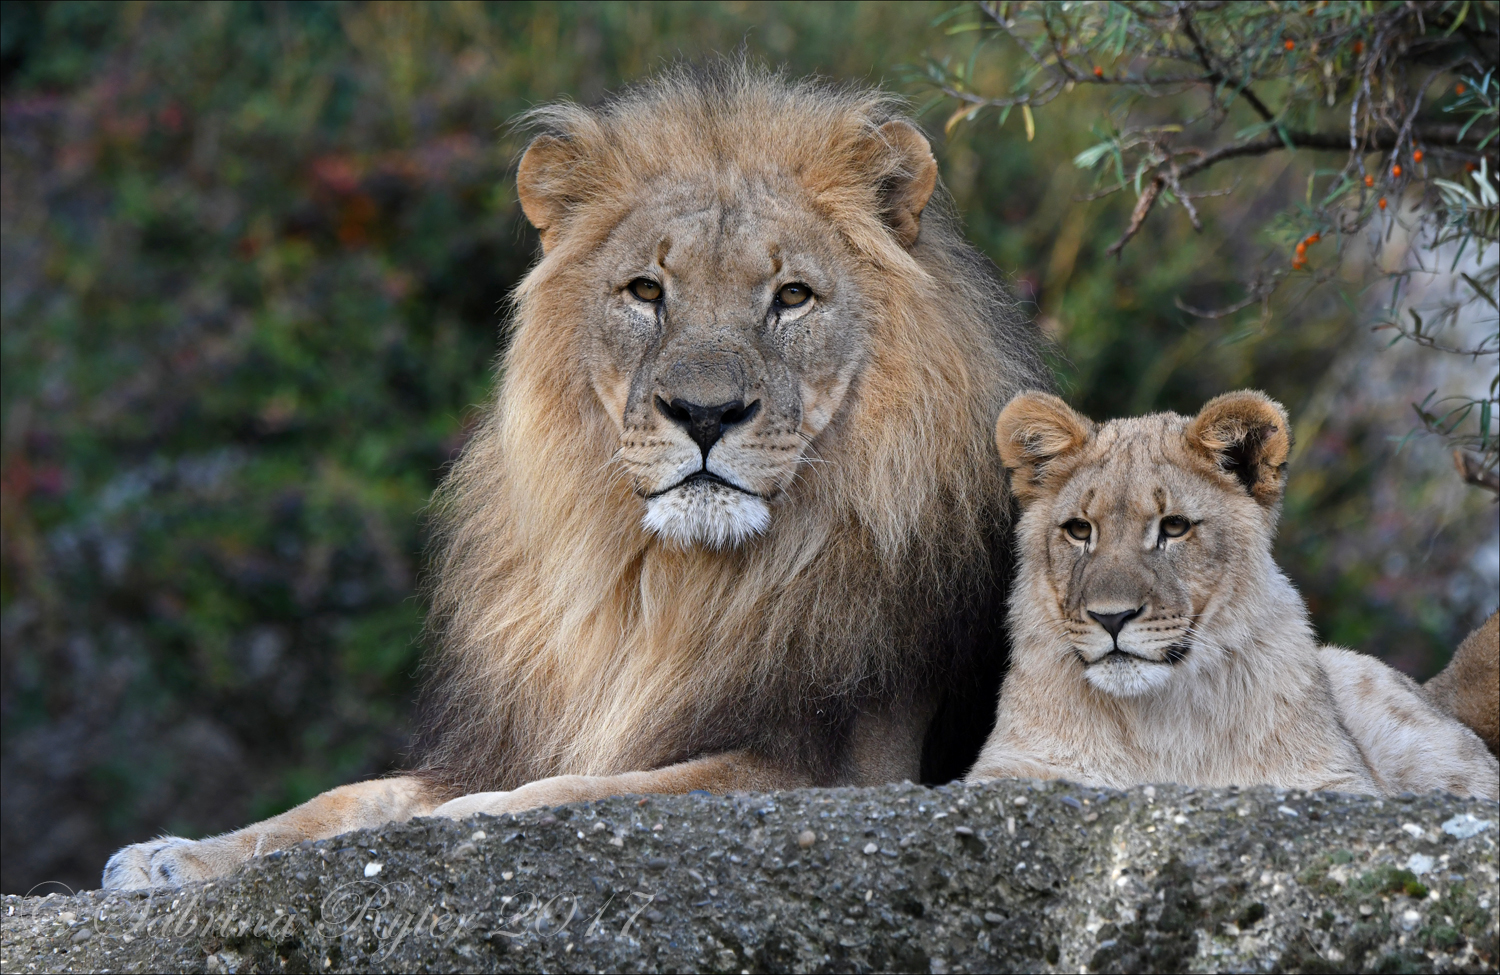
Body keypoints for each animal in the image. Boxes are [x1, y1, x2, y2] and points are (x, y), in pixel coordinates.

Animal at [102, 68, 1044, 888]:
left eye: (792, 297)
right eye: (646, 290)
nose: (705, 413)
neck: (663, 584)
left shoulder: (855, 769)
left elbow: (612, 787)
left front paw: (468, 819)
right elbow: (345, 798)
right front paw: (174, 855)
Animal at [972, 390, 1500, 798]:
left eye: (1174, 527)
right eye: (1080, 529)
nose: (1111, 618)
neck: (1157, 719)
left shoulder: (1333, 778)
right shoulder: (1012, 766)